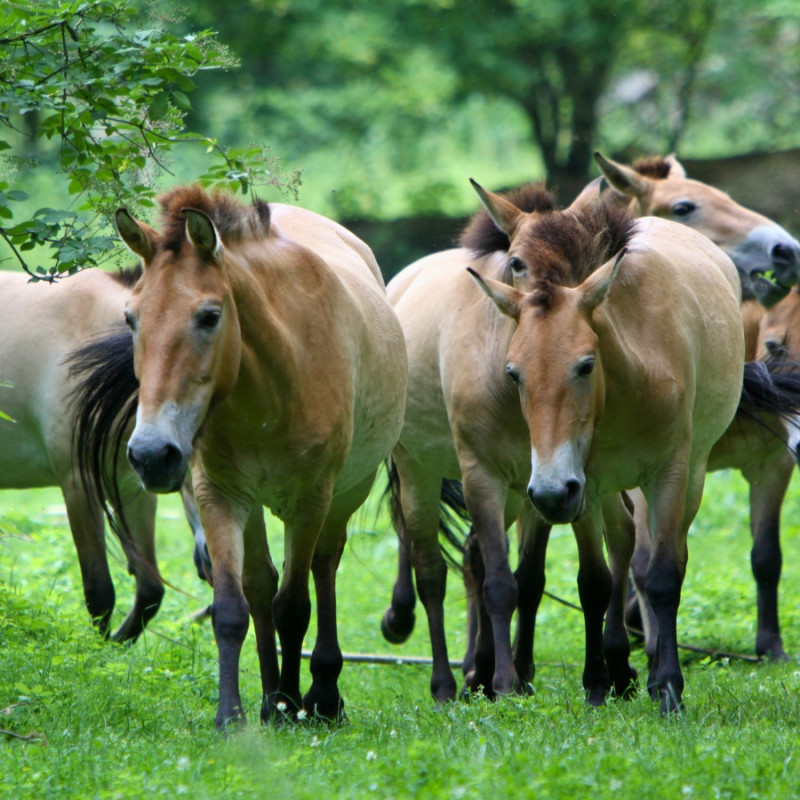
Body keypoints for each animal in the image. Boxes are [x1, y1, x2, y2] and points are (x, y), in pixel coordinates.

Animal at [0, 268, 206, 644]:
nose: (211, 562)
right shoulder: (78, 483)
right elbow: (100, 591)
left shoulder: (132, 487)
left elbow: (150, 590)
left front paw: (115, 646)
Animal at [76, 184, 406, 728]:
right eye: (130, 318)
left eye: (209, 316)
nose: (151, 455)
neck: (273, 385)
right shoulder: (220, 495)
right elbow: (234, 607)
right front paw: (234, 716)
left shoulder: (310, 500)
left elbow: (294, 606)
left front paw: (296, 702)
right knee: (260, 585)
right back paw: (271, 698)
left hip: (342, 498)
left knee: (323, 569)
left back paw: (321, 696)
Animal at [468, 195, 744, 712]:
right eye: (514, 373)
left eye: (585, 364)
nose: (548, 493)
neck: (632, 377)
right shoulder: (586, 485)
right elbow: (593, 583)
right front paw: (596, 684)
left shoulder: (669, 474)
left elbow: (663, 577)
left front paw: (668, 688)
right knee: (621, 548)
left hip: (691, 476)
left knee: (665, 556)